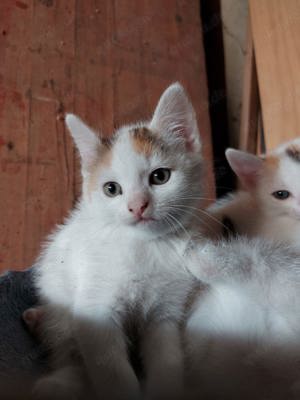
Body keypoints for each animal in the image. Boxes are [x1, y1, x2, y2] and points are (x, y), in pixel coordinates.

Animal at [32, 83, 204, 398]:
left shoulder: (164, 313)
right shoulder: (95, 313)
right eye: (111, 189)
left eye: (160, 176)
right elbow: (110, 367)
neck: (144, 247)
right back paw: (58, 381)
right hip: (58, 310)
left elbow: (167, 359)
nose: (138, 206)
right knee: (67, 352)